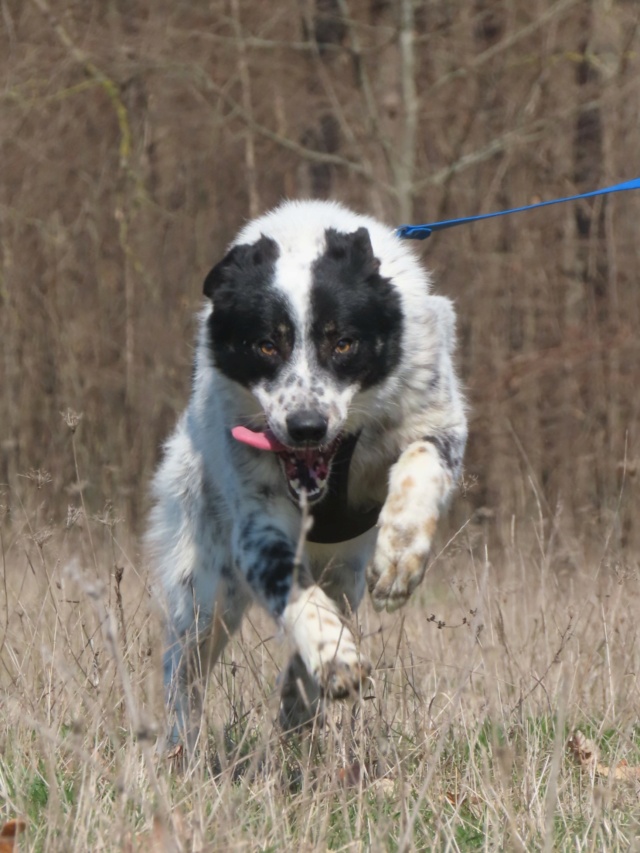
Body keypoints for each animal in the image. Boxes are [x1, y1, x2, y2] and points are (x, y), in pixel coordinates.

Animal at [146, 200, 464, 744]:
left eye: (344, 343)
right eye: (265, 345)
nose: (307, 427)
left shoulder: (438, 420)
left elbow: (422, 461)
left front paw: (400, 557)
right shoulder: (257, 526)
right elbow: (292, 592)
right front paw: (334, 656)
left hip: (343, 574)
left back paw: (298, 705)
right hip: (204, 593)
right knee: (183, 672)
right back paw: (181, 744)